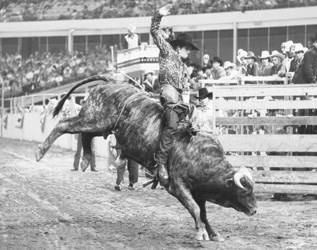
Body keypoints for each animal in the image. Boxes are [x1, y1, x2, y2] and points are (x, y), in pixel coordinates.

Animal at [35, 74, 256, 242]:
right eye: (244, 191)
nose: (255, 210)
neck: (199, 155)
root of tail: (110, 81)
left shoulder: (199, 191)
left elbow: (202, 212)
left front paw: (213, 233)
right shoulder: (178, 187)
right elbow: (194, 208)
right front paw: (201, 233)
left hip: (99, 125)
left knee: (85, 136)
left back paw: (85, 160)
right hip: (94, 119)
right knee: (64, 124)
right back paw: (40, 151)